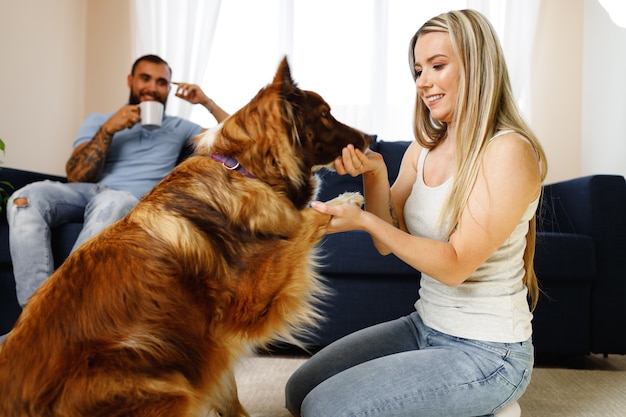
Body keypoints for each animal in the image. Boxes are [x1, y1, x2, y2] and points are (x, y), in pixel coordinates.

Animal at [0, 58, 370, 416]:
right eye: (325, 114)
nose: (368, 138)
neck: (243, 170)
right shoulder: (249, 299)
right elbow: (308, 219)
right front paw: (345, 201)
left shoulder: (208, 340)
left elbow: (227, 392)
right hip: (165, 383)